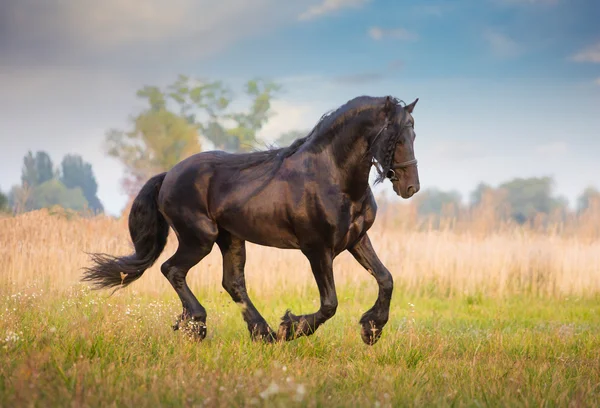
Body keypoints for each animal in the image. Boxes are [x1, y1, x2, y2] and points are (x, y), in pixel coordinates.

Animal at [83, 95, 422, 344]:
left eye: (414, 133)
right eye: (394, 137)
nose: (410, 187)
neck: (332, 178)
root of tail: (168, 175)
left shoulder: (357, 239)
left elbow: (386, 278)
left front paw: (372, 329)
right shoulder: (316, 249)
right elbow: (330, 304)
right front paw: (291, 327)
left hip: (230, 238)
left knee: (232, 283)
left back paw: (260, 333)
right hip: (200, 238)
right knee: (172, 269)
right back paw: (198, 325)